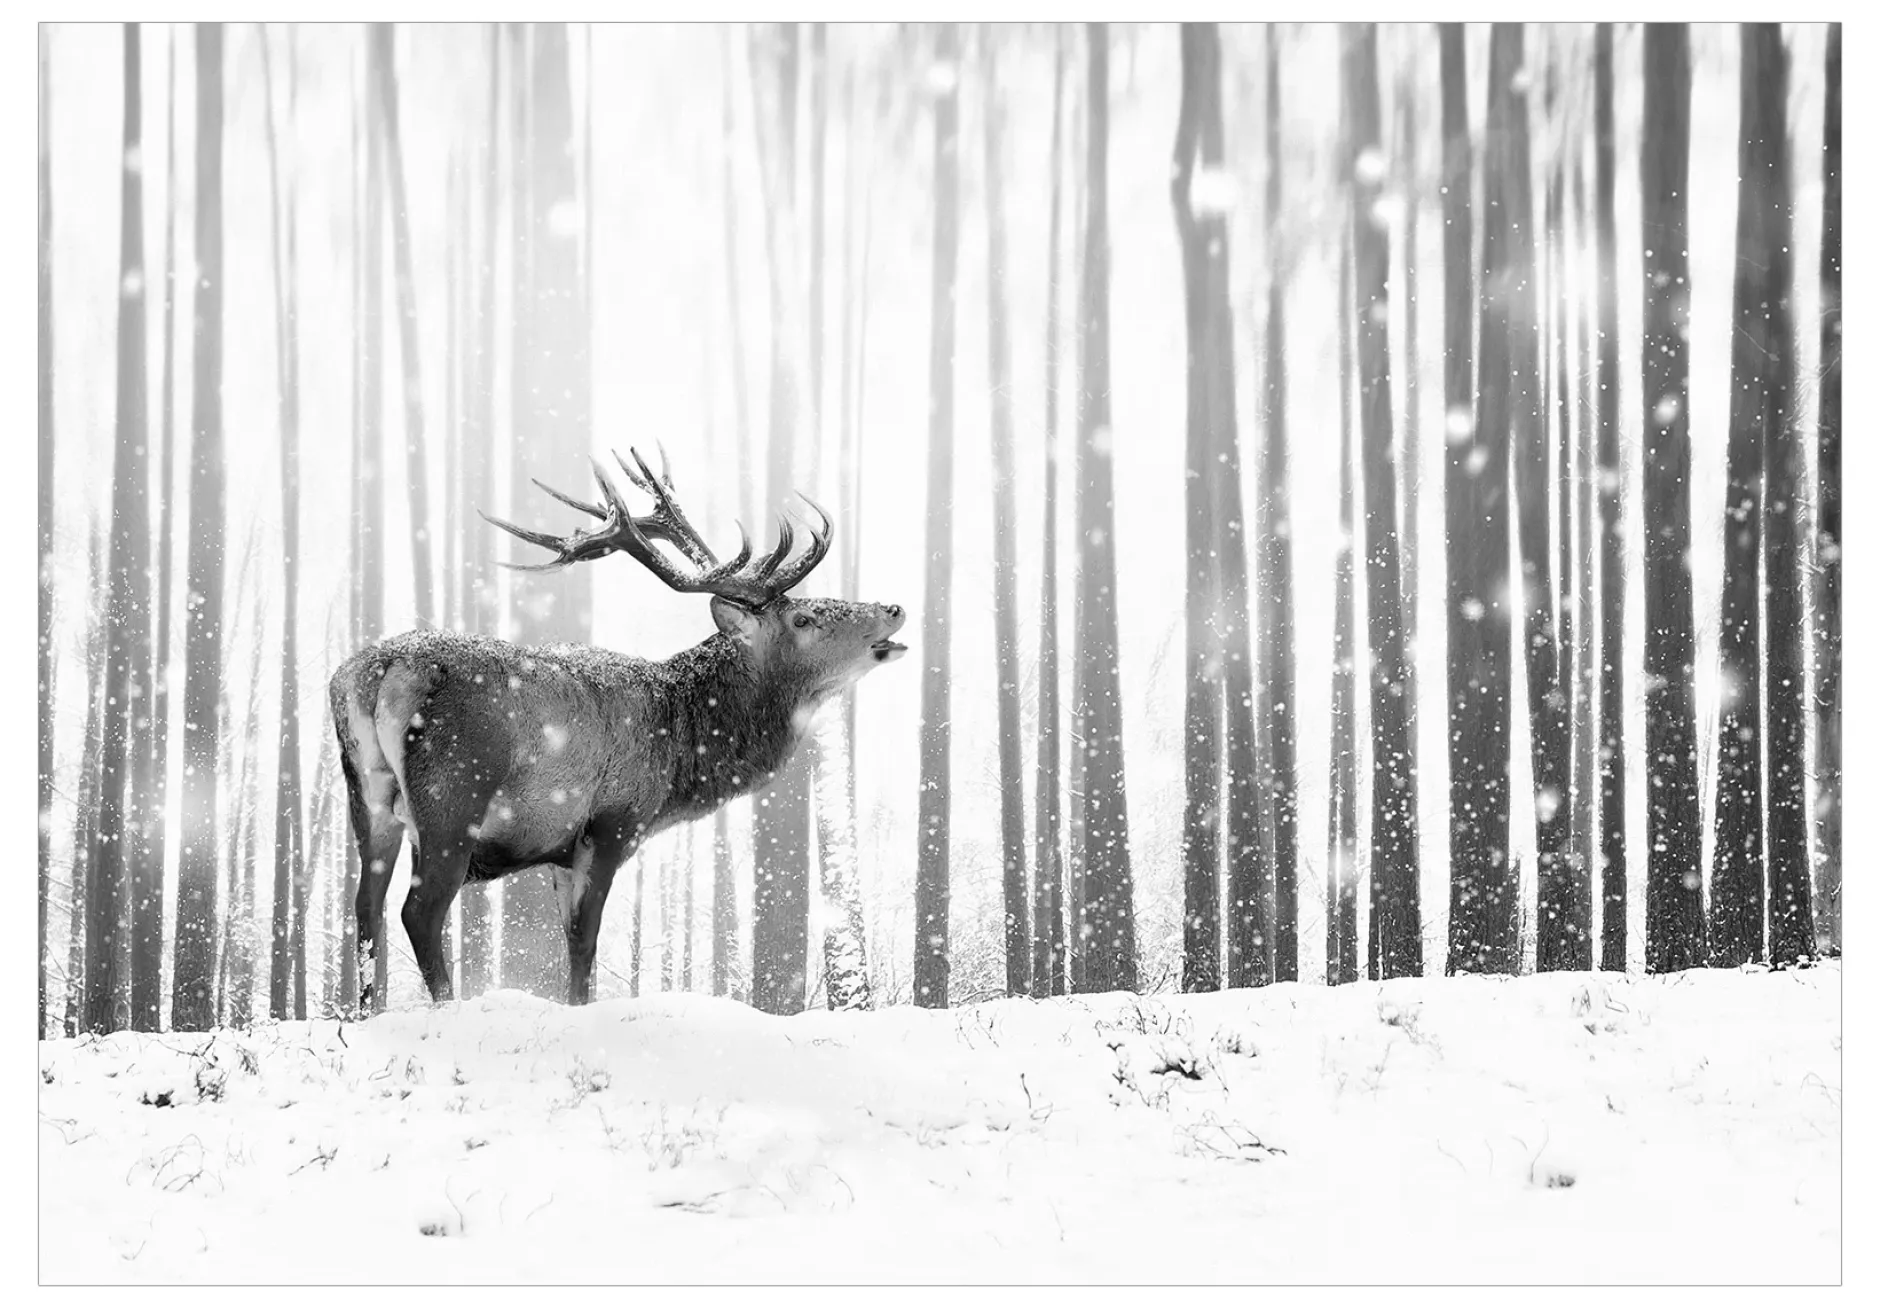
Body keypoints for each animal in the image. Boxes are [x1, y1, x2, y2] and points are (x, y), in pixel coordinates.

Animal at [328, 448, 906, 1011]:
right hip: (453, 796)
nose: (894, 607)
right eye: (803, 619)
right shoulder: (613, 820)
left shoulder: (559, 850)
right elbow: (586, 939)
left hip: (368, 798)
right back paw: (447, 1009)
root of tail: (379, 671)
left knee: (365, 909)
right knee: (419, 911)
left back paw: (369, 1013)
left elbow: (569, 938)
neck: (679, 752)